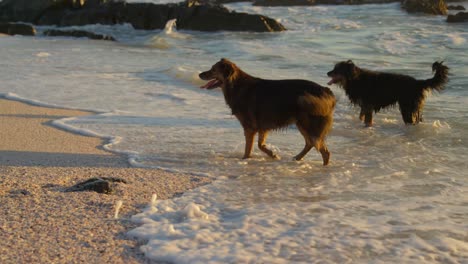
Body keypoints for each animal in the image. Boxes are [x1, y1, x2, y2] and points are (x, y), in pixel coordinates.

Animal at [199, 58, 334, 165]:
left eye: (213, 70)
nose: (200, 74)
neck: (235, 85)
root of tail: (327, 91)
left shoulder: (249, 127)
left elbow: (249, 148)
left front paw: (245, 159)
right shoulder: (262, 125)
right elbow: (260, 144)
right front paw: (273, 154)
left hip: (308, 124)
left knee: (324, 151)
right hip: (301, 123)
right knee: (310, 144)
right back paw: (297, 158)